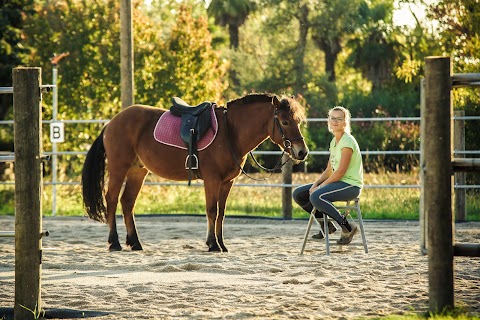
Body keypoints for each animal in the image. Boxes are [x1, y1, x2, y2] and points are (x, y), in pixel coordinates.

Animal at [81, 93, 308, 252]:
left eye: (298, 121)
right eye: (285, 122)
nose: (302, 152)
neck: (230, 131)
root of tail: (112, 122)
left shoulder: (227, 182)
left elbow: (221, 213)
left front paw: (221, 244)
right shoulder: (212, 180)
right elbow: (211, 210)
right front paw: (213, 244)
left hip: (137, 172)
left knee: (127, 203)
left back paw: (135, 243)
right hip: (119, 168)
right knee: (112, 200)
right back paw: (114, 243)